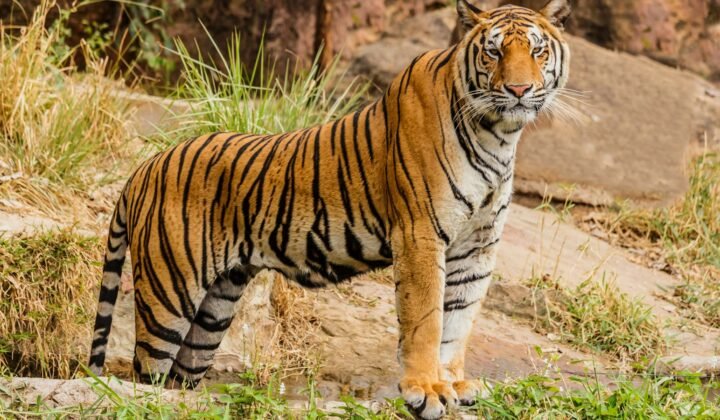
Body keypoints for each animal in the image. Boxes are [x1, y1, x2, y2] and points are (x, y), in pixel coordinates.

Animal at [88, 1, 571, 418]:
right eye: (494, 51)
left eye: (537, 50)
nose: (519, 90)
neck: (499, 134)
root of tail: (144, 167)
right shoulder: (420, 234)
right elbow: (427, 320)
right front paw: (426, 391)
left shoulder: (478, 246)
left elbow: (459, 322)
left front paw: (452, 384)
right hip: (168, 294)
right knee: (145, 375)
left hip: (215, 308)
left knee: (178, 380)